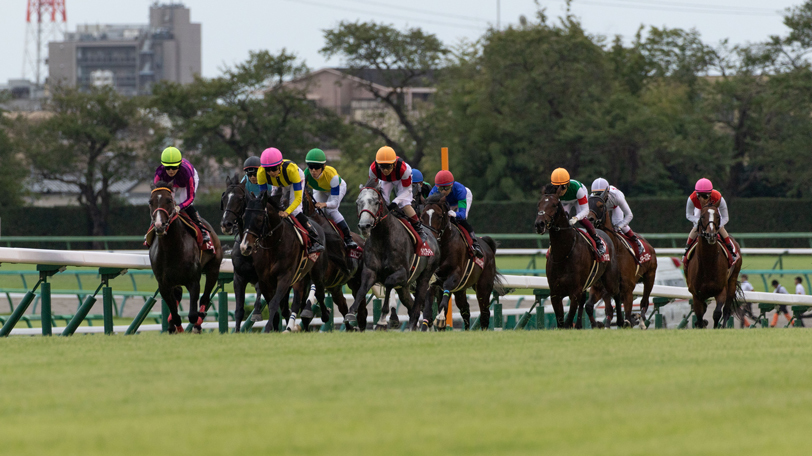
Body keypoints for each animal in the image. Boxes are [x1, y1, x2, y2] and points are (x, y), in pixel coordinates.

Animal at [149, 180, 222, 334]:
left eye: (169, 200)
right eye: (150, 202)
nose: (159, 225)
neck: (172, 249)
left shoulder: (193, 280)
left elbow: (193, 314)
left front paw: (196, 322)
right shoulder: (164, 285)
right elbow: (175, 313)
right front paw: (175, 327)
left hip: (213, 269)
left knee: (205, 298)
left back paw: (198, 323)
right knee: (178, 297)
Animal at [418, 194, 502, 330]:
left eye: (439, 216)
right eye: (422, 216)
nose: (430, 237)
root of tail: (487, 245)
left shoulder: (455, 275)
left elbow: (446, 290)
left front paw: (440, 318)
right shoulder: (433, 280)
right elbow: (427, 308)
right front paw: (426, 326)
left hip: (483, 286)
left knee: (484, 313)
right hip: (460, 290)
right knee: (465, 309)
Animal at [536, 187, 620, 330]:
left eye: (554, 205)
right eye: (539, 204)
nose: (539, 224)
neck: (563, 253)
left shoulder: (574, 291)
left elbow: (568, 320)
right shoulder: (555, 293)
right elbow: (561, 322)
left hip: (609, 278)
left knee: (617, 294)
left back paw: (623, 322)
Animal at [588, 191, 660, 326]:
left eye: (600, 205)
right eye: (586, 204)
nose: (589, 219)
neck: (615, 251)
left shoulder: (627, 289)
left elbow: (626, 316)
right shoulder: (600, 288)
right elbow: (595, 307)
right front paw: (600, 324)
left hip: (650, 277)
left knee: (644, 302)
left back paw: (641, 320)